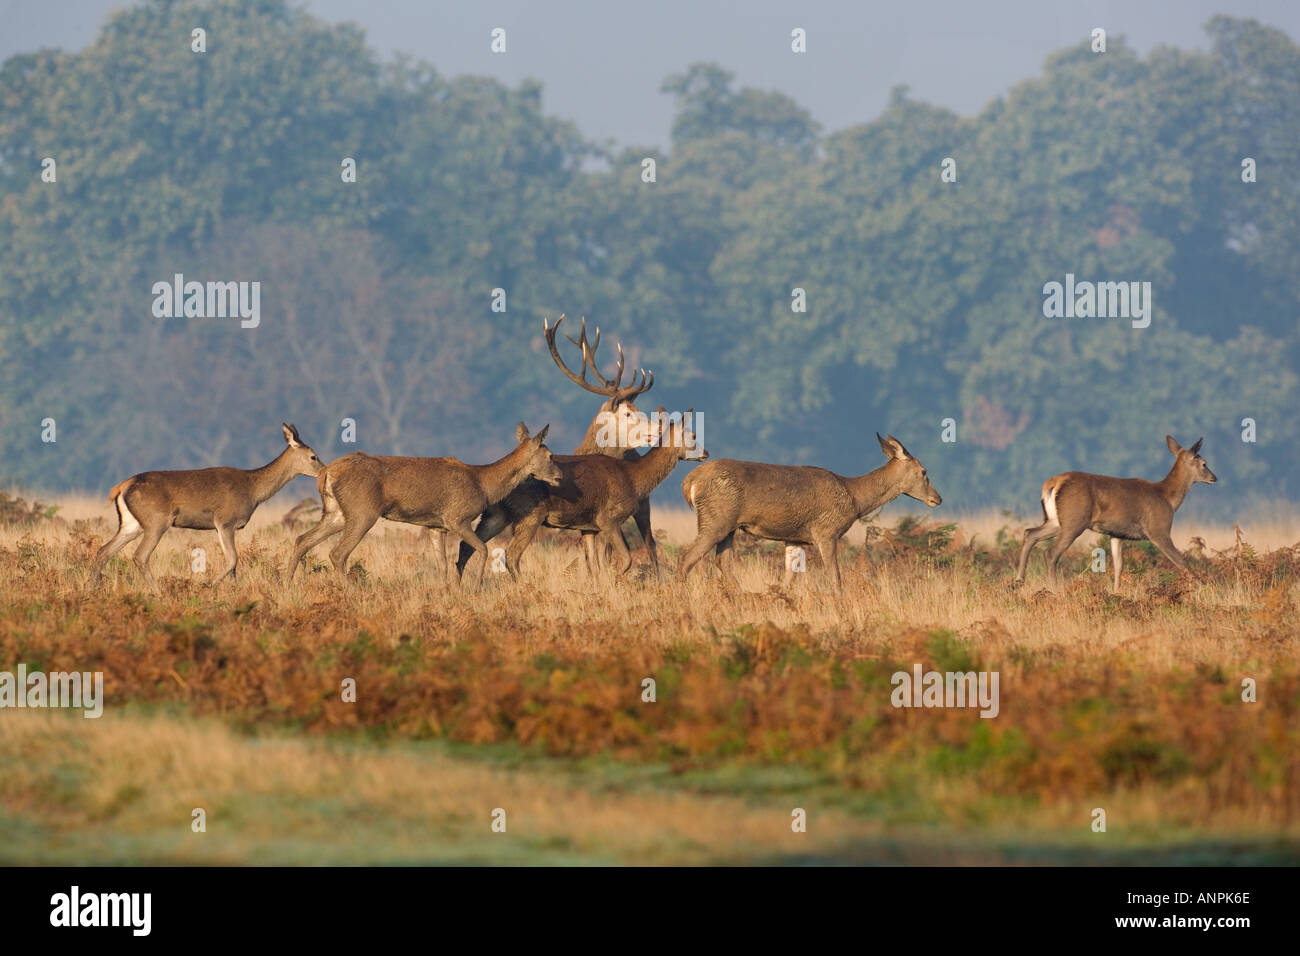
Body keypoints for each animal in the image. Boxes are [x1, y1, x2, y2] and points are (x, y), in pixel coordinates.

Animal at [88, 423, 323, 590]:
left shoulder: (225, 526)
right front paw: (208, 585)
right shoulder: (225, 521)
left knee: (104, 550)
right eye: (313, 456)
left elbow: (234, 566)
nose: (323, 471)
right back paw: (157, 592)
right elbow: (232, 560)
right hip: (156, 521)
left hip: (132, 524)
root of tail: (121, 487)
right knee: (139, 556)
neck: (253, 491)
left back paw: (92, 588)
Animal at [287, 423, 561, 585]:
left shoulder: (435, 526)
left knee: (303, 540)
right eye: (550, 456)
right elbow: (482, 549)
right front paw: (474, 588)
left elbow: (442, 566)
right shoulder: (457, 517)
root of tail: (326, 473)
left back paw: (287, 585)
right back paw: (353, 591)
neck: (483, 484)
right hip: (362, 511)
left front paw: (449, 593)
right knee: (337, 553)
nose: (559, 476)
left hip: (336, 512)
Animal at [480, 410, 706, 579]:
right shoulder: (608, 519)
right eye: (693, 435)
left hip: (498, 514)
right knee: (511, 555)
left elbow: (594, 568)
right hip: (529, 514)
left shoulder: (588, 527)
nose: (706, 453)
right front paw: (615, 585)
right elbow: (625, 560)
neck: (633, 479)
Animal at [679, 434, 942, 594]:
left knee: (721, 561)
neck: (855, 499)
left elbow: (789, 578)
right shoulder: (826, 531)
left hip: (728, 526)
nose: (937, 498)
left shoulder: (794, 538)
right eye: (923, 471)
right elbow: (835, 577)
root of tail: (689, 482)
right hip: (716, 519)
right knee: (687, 558)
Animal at [1014, 435, 1217, 591]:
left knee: (1030, 533)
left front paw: (1116, 591)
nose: (1214, 477)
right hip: (1074, 521)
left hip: (1056, 520)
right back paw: (1054, 590)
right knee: (1050, 552)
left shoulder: (1117, 534)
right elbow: (1181, 561)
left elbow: (1119, 565)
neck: (1168, 498)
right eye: (1204, 463)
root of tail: (1053, 483)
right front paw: (1205, 588)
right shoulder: (1159, 530)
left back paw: (1018, 581)